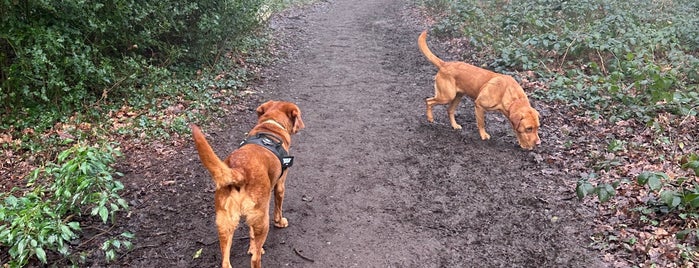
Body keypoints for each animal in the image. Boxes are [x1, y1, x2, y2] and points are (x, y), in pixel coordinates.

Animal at [191, 100, 304, 268]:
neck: (270, 126)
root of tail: (239, 171)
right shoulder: (280, 186)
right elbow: (279, 209)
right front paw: (280, 222)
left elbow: (251, 234)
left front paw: (252, 246)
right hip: (262, 220)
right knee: (255, 259)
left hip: (226, 223)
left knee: (225, 261)